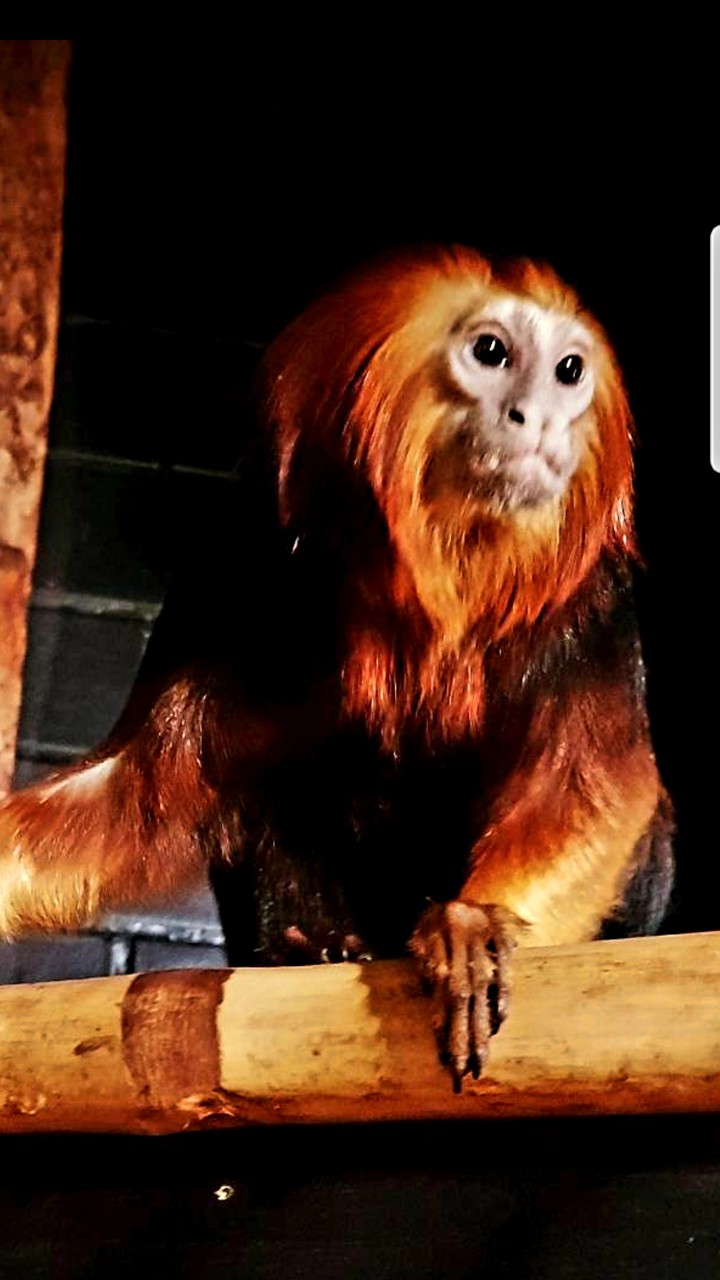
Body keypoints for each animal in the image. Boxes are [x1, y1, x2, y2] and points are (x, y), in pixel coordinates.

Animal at [0, 245, 673, 1089]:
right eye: (491, 353)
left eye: (569, 371)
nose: (542, 419)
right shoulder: (234, 562)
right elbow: (131, 792)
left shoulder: (596, 601)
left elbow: (599, 788)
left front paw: (470, 924)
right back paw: (305, 948)